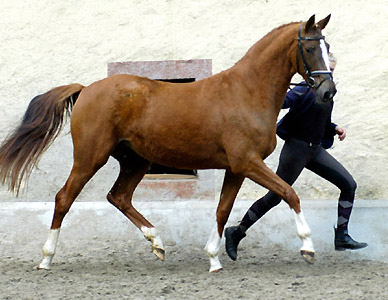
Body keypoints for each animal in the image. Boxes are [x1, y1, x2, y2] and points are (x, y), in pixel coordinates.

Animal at [0, 14, 334, 272]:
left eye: (328, 46)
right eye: (309, 47)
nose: (328, 90)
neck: (247, 92)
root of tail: (86, 89)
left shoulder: (236, 168)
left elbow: (222, 210)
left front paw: (214, 260)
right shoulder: (248, 162)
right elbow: (289, 193)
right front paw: (307, 247)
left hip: (135, 161)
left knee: (118, 197)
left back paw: (157, 242)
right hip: (90, 158)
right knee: (64, 198)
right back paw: (46, 259)